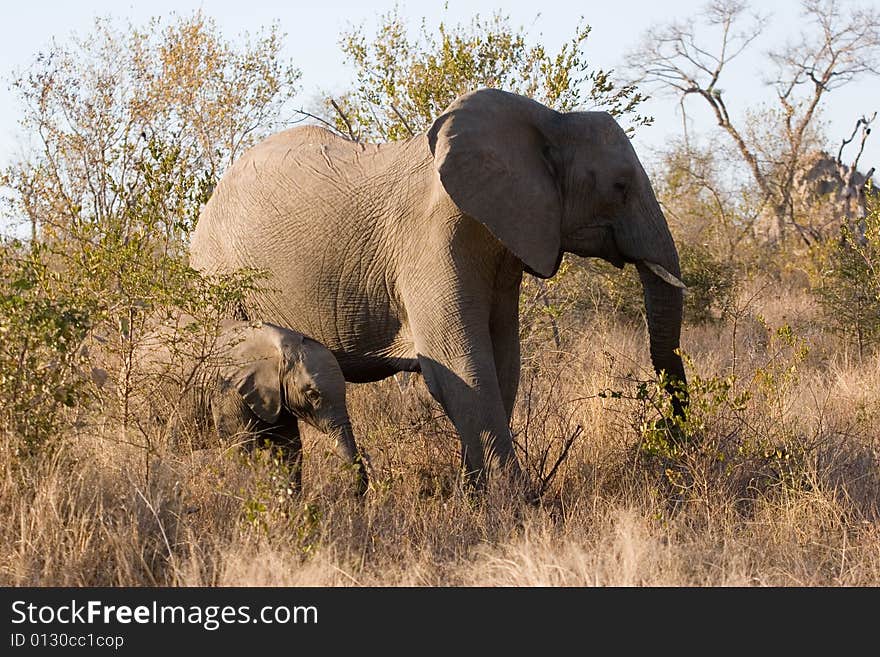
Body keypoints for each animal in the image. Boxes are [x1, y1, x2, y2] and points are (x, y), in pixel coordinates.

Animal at [191, 88, 688, 492]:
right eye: (620, 186)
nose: (671, 438)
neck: (547, 120)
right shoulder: (429, 242)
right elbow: (460, 365)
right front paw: (516, 504)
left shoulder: (503, 242)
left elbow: (502, 362)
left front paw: (475, 496)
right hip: (219, 280)